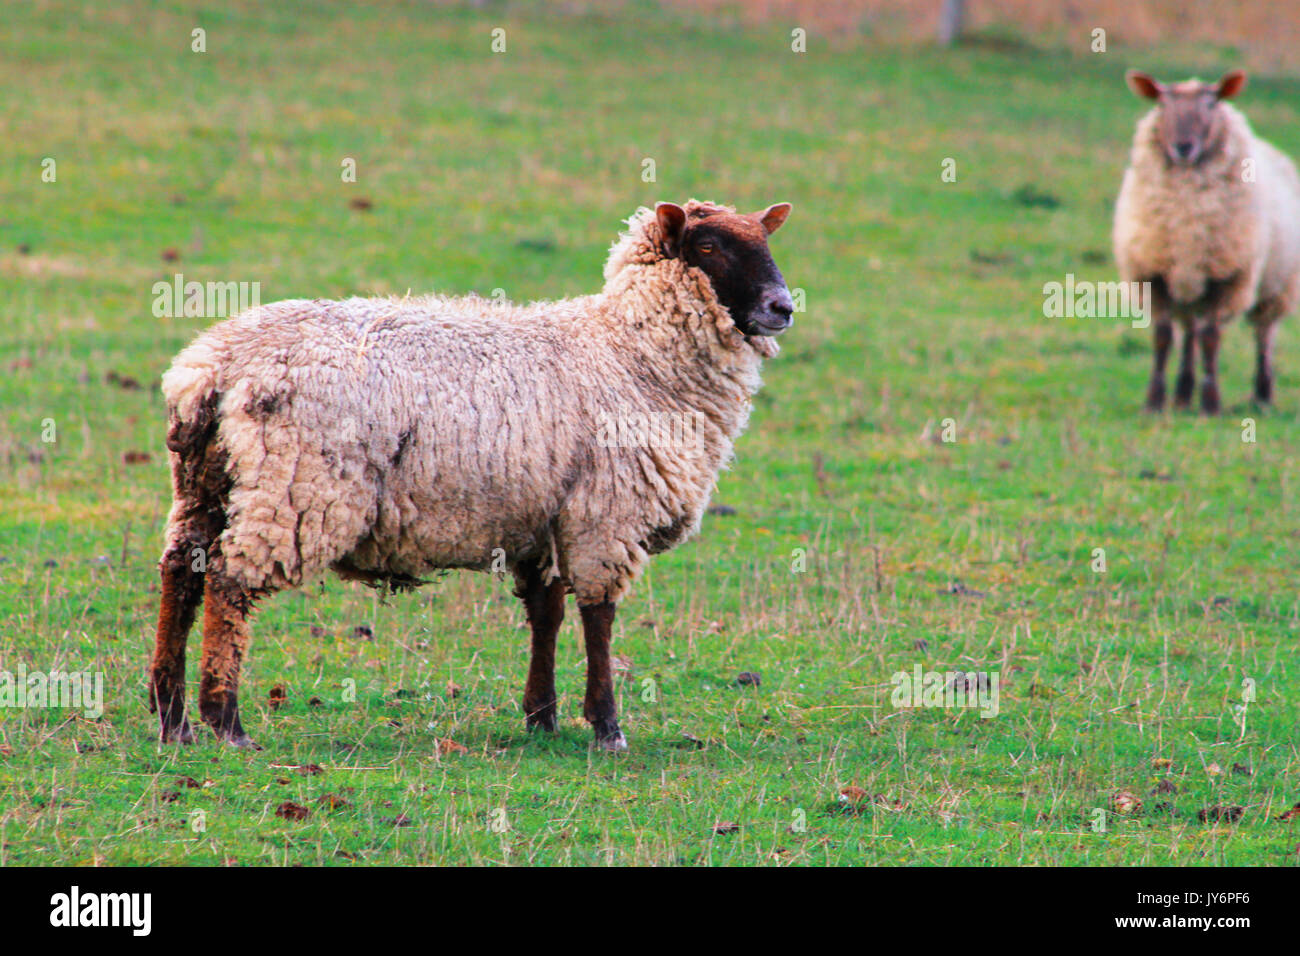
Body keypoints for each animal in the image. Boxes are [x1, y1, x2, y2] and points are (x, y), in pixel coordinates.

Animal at [146, 200, 785, 754]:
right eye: (708, 245)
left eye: (765, 239)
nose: (783, 307)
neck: (630, 353)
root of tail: (214, 367)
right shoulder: (605, 515)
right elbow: (597, 617)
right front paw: (607, 727)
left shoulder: (545, 518)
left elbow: (547, 614)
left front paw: (542, 717)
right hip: (295, 490)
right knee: (229, 582)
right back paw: (225, 720)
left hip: (207, 483)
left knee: (182, 570)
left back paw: (172, 717)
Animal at [1112, 67, 1300, 411]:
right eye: (1162, 104)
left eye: (1211, 104)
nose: (1183, 147)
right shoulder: (1154, 274)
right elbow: (1163, 337)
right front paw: (1154, 401)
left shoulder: (1227, 277)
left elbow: (1211, 338)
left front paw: (1211, 404)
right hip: (1188, 285)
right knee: (1190, 333)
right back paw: (1183, 395)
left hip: (1277, 285)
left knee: (1263, 335)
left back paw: (1262, 395)